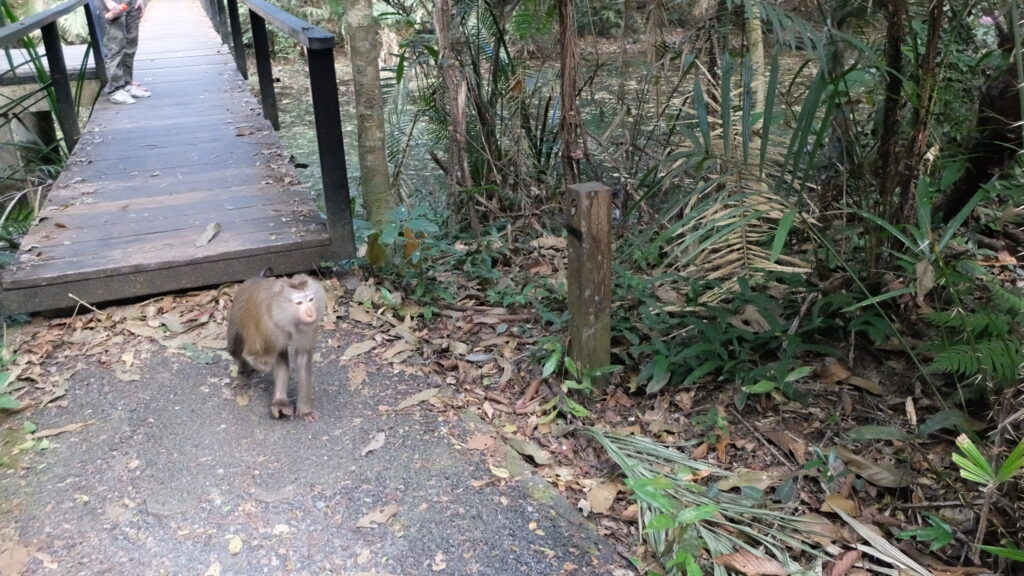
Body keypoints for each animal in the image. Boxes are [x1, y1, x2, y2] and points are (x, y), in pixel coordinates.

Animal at [227, 272, 326, 422]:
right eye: (299, 303)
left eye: (311, 299)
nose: (310, 313)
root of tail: (255, 278)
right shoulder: (269, 327)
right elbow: (259, 358)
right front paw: (252, 361)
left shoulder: (306, 328)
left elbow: (302, 357)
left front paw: (305, 410)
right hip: (236, 314)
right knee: (236, 351)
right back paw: (243, 373)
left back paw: (280, 403)